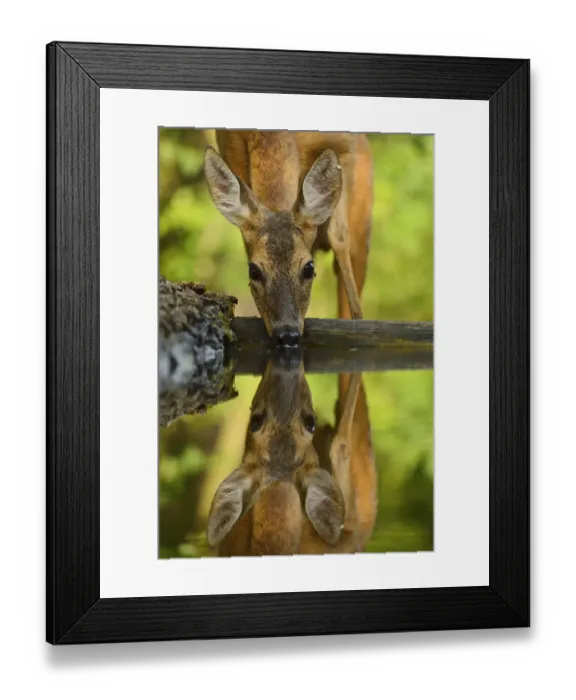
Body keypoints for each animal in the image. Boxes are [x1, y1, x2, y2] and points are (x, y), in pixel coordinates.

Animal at [203, 129, 373, 347]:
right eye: (253, 271)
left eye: (309, 268)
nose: (287, 334)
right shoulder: (232, 148)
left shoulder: (344, 146)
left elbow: (339, 237)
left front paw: (358, 322)